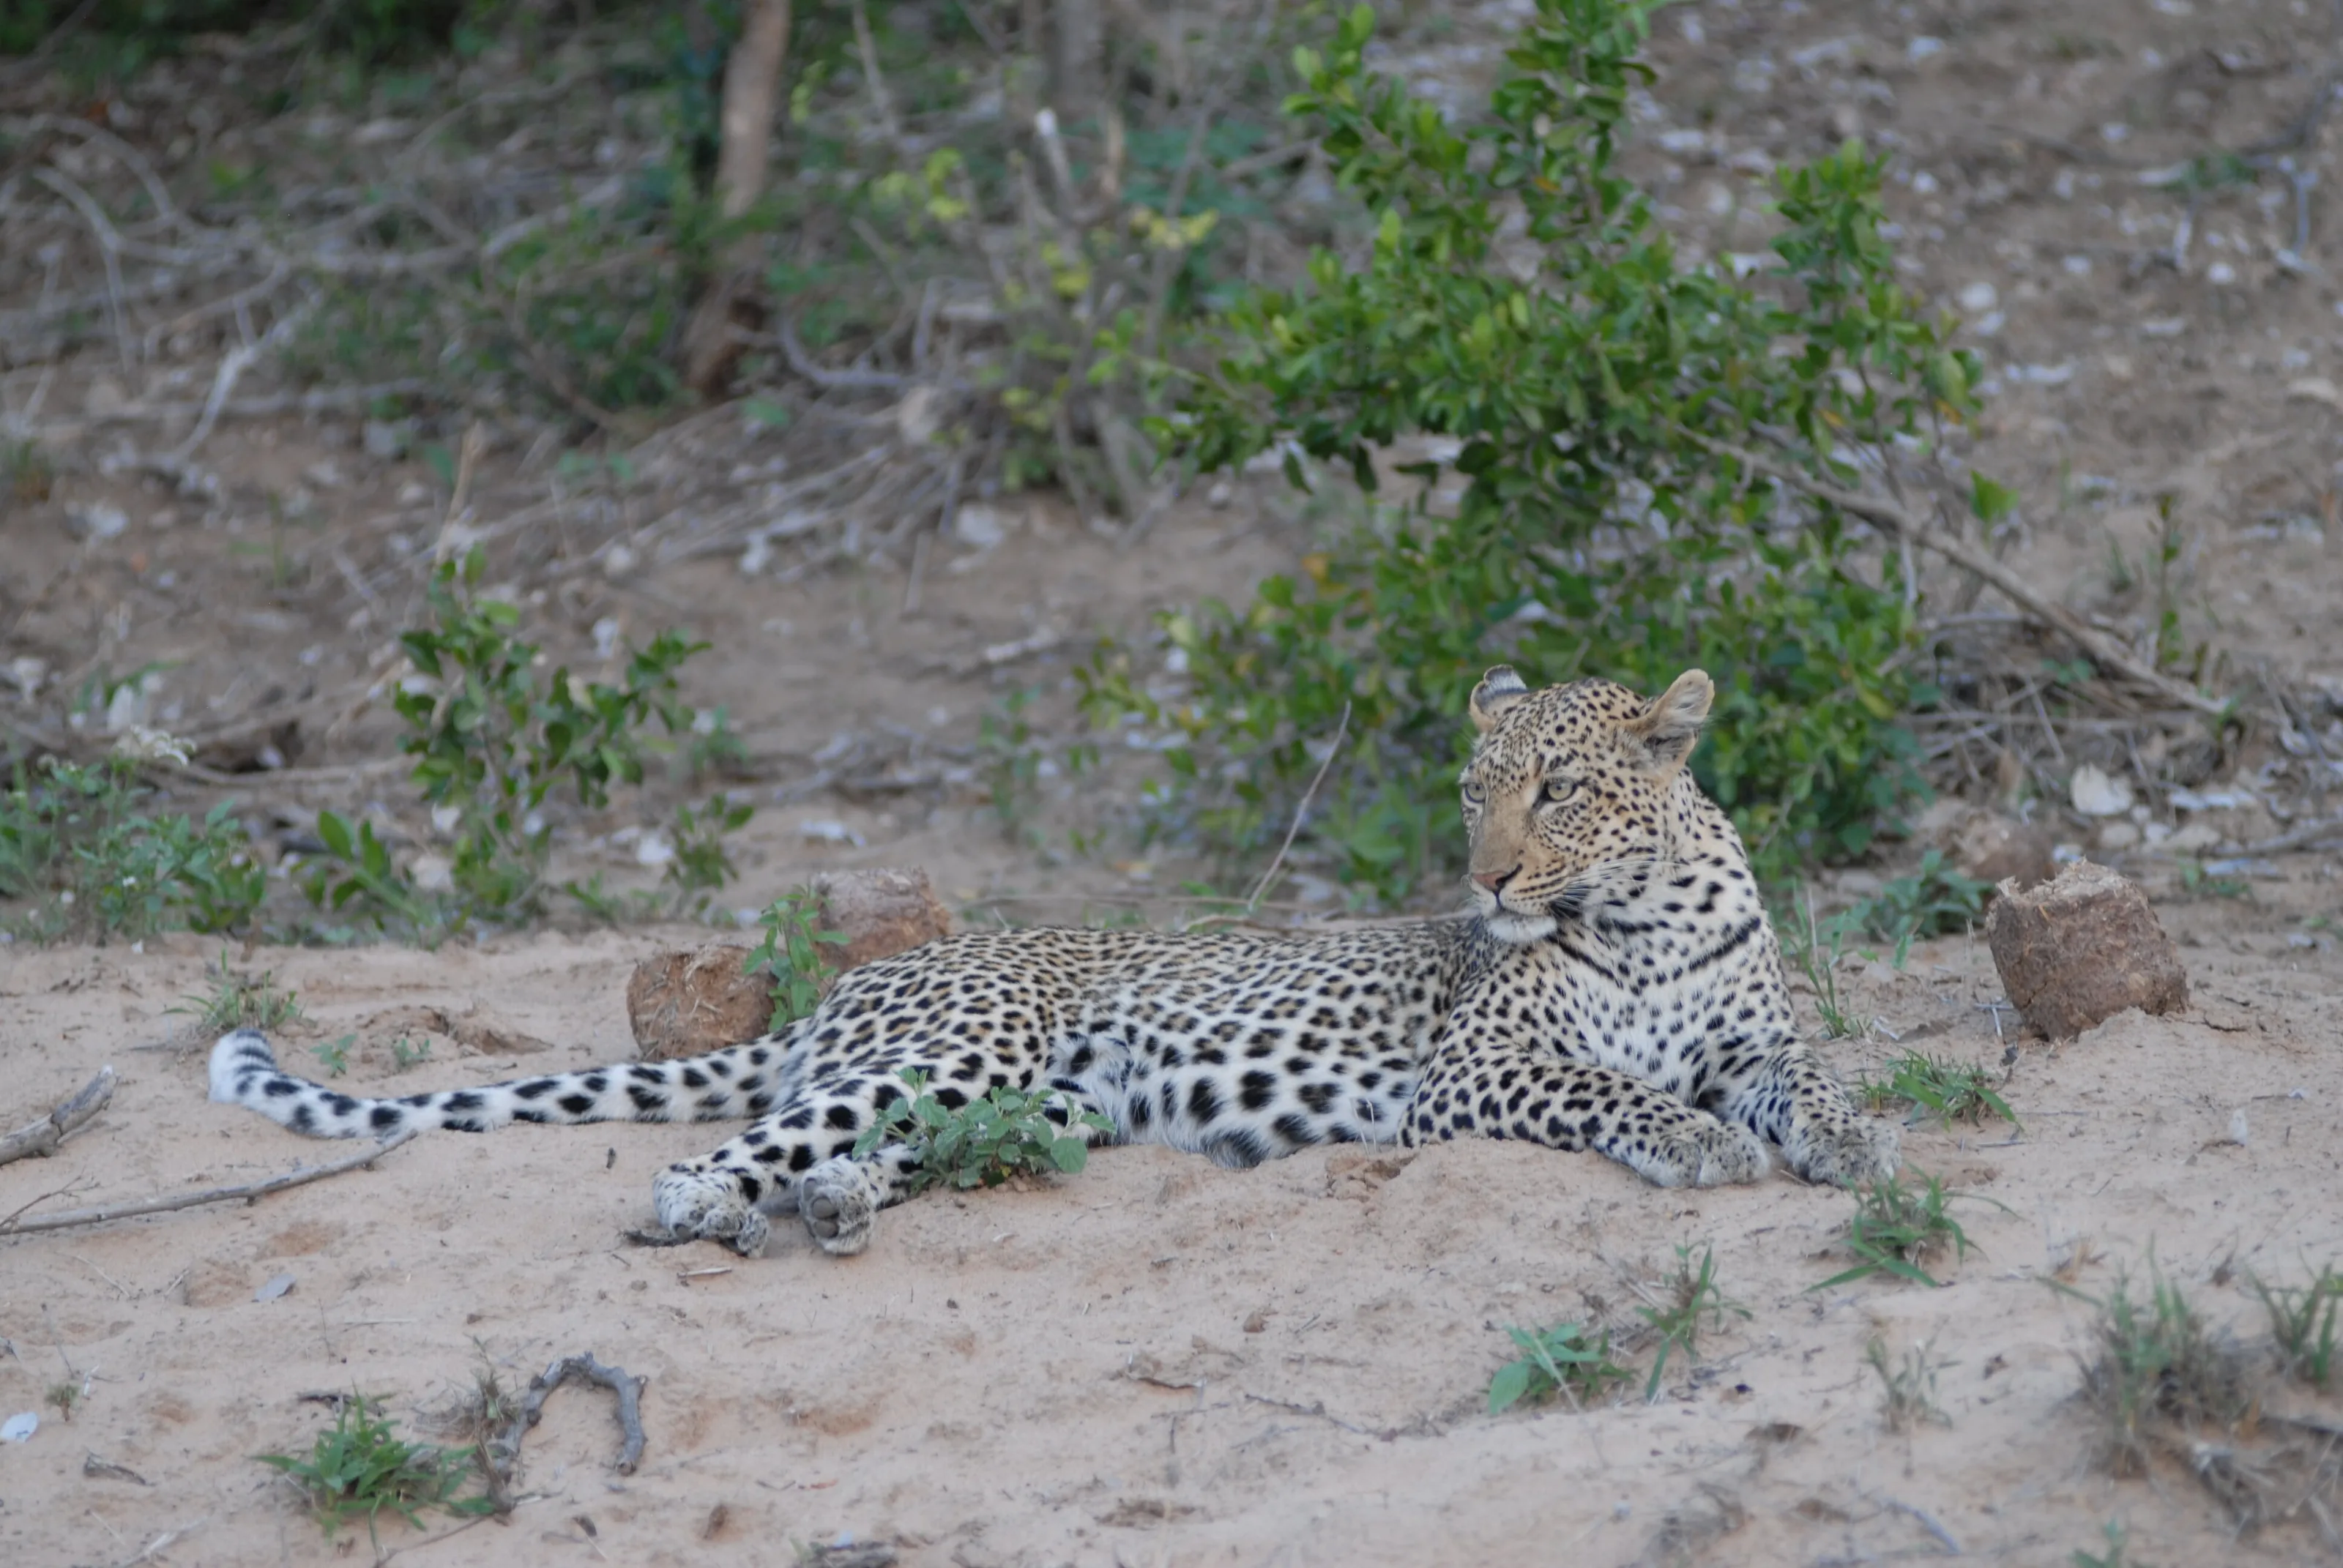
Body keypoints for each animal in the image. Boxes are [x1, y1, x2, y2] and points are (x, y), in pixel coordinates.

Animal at [208, 664, 1899, 1258]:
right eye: (1473, 792)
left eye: (1554, 790)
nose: (1480, 877)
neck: (1645, 912)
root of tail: (846, 987)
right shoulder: (1479, 1074)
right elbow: (1609, 1094)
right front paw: (1694, 1144)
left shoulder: (1752, 1036)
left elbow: (1809, 1076)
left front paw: (1860, 1141)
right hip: (959, 1048)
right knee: (707, 1162)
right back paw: (724, 1215)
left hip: (1035, 1102)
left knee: (888, 1156)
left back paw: (835, 1206)